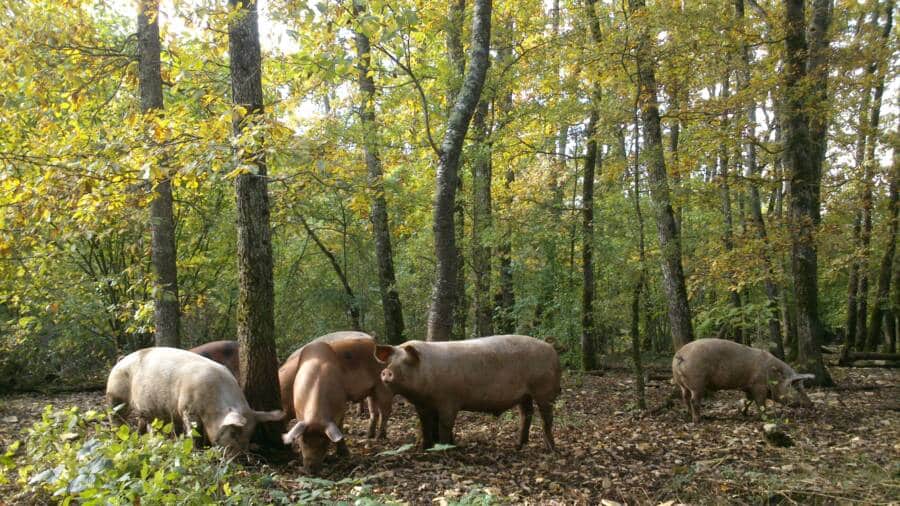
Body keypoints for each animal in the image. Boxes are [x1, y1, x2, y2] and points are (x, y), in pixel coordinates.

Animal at [282, 338, 394, 472]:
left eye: (325, 442)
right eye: (303, 441)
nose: (311, 469)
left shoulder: (341, 407)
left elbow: (340, 428)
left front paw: (344, 454)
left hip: (383, 385)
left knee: (385, 411)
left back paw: (379, 437)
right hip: (371, 391)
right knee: (374, 412)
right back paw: (369, 435)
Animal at [374, 336, 560, 450]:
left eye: (406, 361)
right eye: (390, 361)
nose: (386, 371)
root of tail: (550, 347)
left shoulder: (448, 401)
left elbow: (445, 425)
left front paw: (445, 448)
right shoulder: (422, 406)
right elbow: (425, 424)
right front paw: (424, 448)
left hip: (544, 390)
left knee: (547, 418)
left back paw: (550, 448)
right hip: (525, 394)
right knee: (526, 414)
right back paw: (518, 446)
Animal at [668, 340, 816, 422]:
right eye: (796, 387)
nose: (812, 404)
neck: (773, 375)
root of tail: (680, 354)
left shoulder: (748, 387)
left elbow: (748, 400)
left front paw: (743, 413)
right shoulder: (758, 385)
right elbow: (760, 403)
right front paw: (766, 417)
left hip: (682, 384)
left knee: (685, 397)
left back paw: (689, 415)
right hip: (697, 382)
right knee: (694, 400)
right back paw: (698, 420)